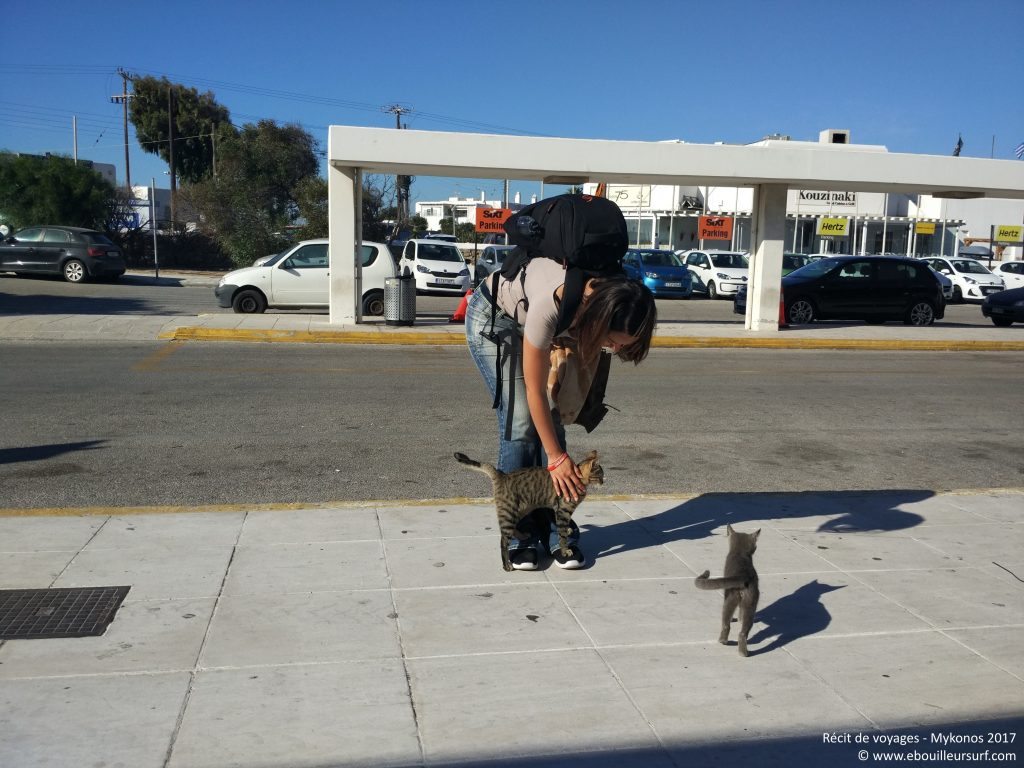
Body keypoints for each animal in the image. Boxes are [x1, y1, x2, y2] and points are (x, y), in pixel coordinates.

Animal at [452, 450, 602, 573]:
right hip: (509, 512)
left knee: (512, 530)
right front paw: (565, 550)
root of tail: (502, 476)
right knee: (503, 541)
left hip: (520, 510)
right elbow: (562, 536)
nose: (603, 481)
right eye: (600, 474)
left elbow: (559, 525)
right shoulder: (563, 511)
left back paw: (523, 536)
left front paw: (569, 529)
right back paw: (506, 565)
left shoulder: (555, 508)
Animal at [696, 528, 761, 659]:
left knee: (726, 623)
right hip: (750, 602)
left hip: (730, 598)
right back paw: (743, 653)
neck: (740, 553)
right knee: (743, 631)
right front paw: (739, 619)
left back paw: (722, 641)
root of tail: (743, 576)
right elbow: (741, 613)